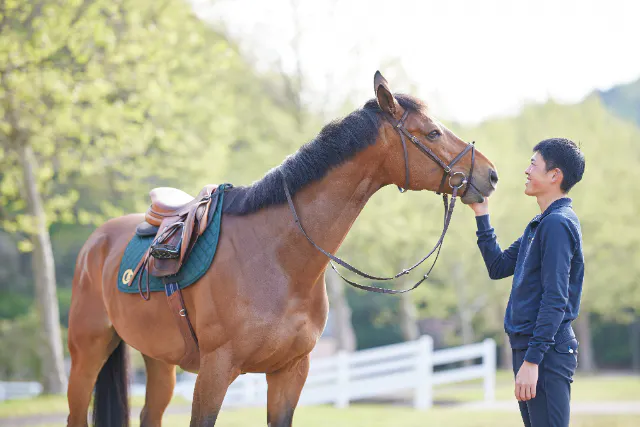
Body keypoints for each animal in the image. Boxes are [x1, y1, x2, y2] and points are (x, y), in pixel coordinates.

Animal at [66, 71, 498, 427]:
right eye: (432, 133)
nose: (490, 174)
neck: (277, 259)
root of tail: (96, 243)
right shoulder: (214, 372)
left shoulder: (291, 372)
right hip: (87, 355)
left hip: (158, 362)